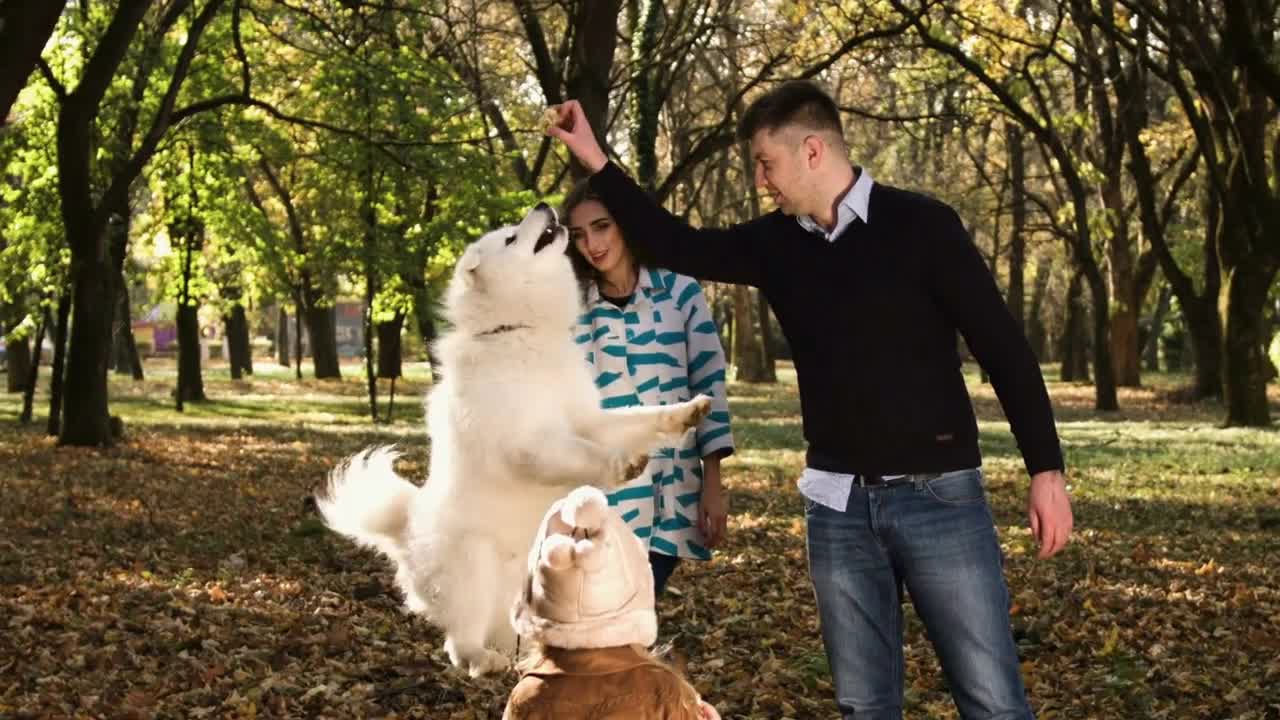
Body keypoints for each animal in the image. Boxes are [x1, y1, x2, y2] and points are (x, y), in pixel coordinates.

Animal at [312, 199, 711, 671]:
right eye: (509, 237)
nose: (542, 204)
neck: (521, 331)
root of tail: (405, 532)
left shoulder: (588, 419)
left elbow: (640, 419)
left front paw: (685, 413)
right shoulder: (531, 444)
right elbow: (582, 453)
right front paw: (619, 464)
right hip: (474, 569)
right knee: (459, 642)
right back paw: (485, 661)